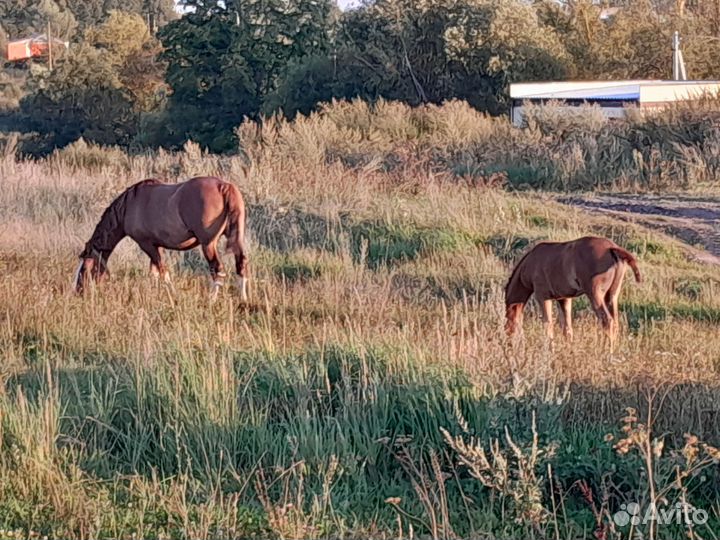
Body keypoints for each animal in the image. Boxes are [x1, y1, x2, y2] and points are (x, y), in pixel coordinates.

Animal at [73, 176, 248, 300]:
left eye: (85, 268)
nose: (78, 291)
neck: (129, 206)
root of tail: (224, 186)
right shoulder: (157, 246)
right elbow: (155, 273)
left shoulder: (147, 245)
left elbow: (163, 272)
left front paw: (171, 295)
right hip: (235, 239)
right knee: (241, 264)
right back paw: (244, 299)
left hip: (208, 244)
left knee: (217, 269)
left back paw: (212, 299)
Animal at [506, 236, 640, 346]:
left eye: (508, 325)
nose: (509, 343)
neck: (530, 264)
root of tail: (612, 248)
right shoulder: (564, 299)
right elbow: (567, 328)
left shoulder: (542, 296)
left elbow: (548, 325)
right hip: (611, 296)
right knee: (615, 323)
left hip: (595, 295)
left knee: (607, 321)